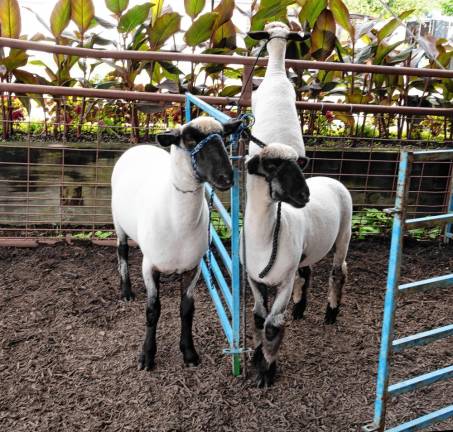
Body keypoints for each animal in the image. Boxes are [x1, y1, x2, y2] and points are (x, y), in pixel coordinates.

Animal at [111, 115, 242, 372]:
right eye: (190, 139)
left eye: (223, 137)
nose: (226, 178)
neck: (178, 223)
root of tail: (139, 146)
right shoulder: (149, 266)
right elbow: (153, 310)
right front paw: (147, 356)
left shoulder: (194, 267)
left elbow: (187, 310)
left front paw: (189, 353)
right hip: (117, 220)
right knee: (122, 250)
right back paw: (126, 291)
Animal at [244, 22, 354, 388]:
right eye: (272, 166)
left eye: (296, 164)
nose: (304, 196)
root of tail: (331, 180)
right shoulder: (255, 279)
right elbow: (257, 318)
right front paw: (255, 358)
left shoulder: (283, 280)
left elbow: (273, 326)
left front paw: (266, 371)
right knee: (308, 269)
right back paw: (302, 308)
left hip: (344, 233)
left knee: (337, 271)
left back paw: (331, 313)